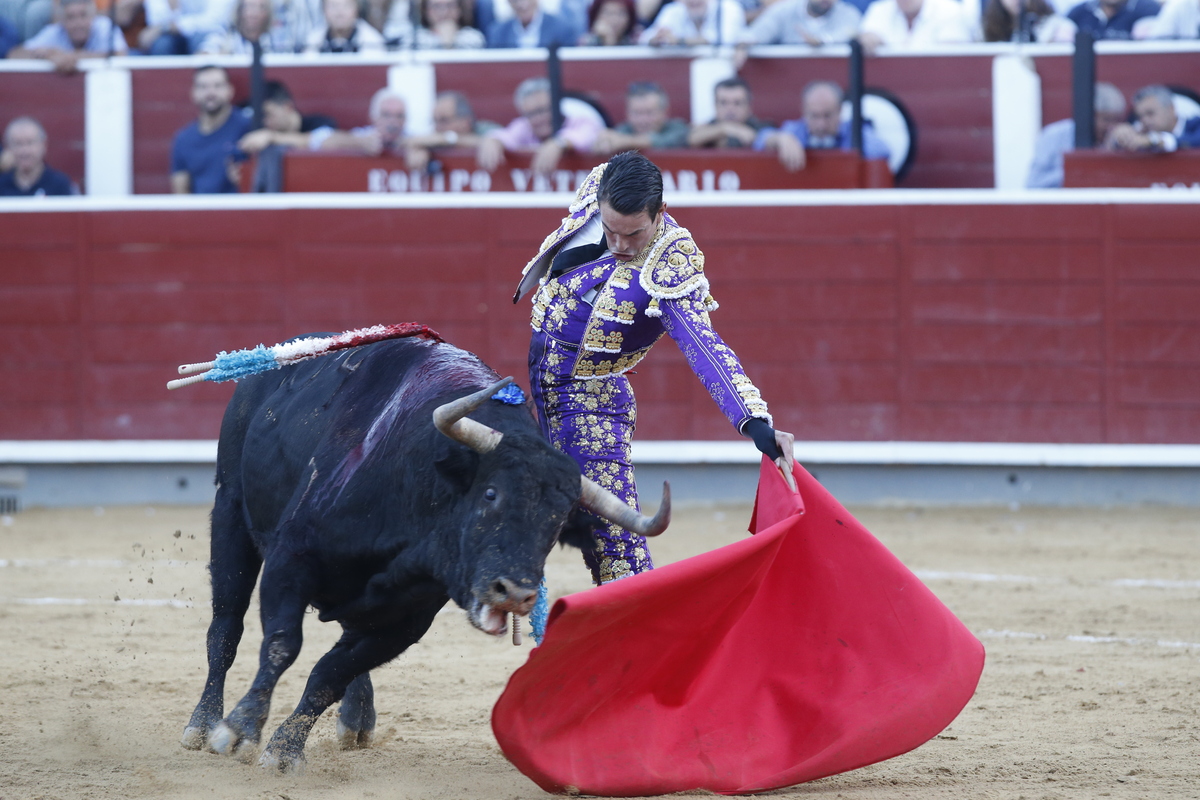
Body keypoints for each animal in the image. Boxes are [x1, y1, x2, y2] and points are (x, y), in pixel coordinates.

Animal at [178, 335, 672, 767]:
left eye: (555, 525)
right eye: (490, 493)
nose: (515, 593)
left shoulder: (406, 619)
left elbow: (330, 673)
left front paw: (285, 748)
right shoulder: (291, 560)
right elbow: (282, 645)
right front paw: (239, 730)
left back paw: (356, 721)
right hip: (230, 513)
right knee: (226, 627)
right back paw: (201, 725)